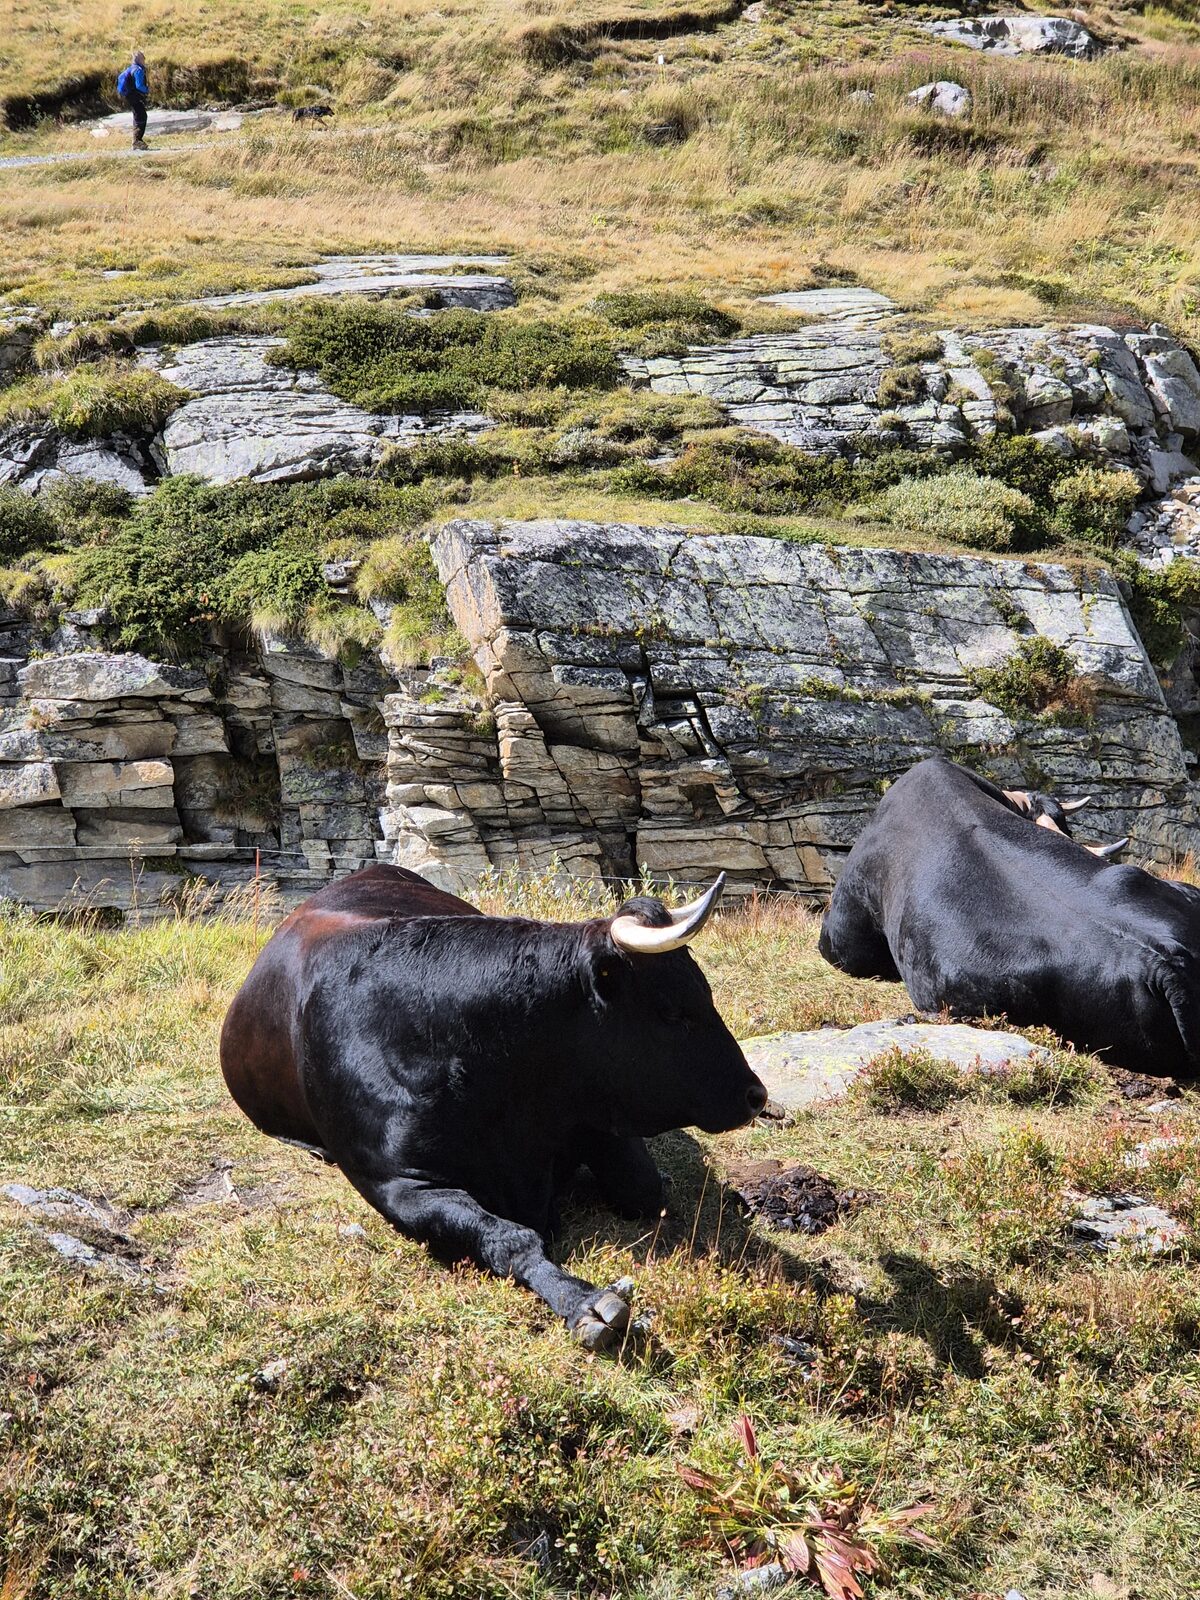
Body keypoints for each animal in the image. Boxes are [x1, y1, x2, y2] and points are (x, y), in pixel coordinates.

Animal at [220, 864, 766, 1350]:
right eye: (672, 1011)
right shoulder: (398, 1184)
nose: (755, 1095)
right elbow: (507, 1237)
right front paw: (583, 1301)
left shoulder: (598, 1118)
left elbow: (642, 1188)